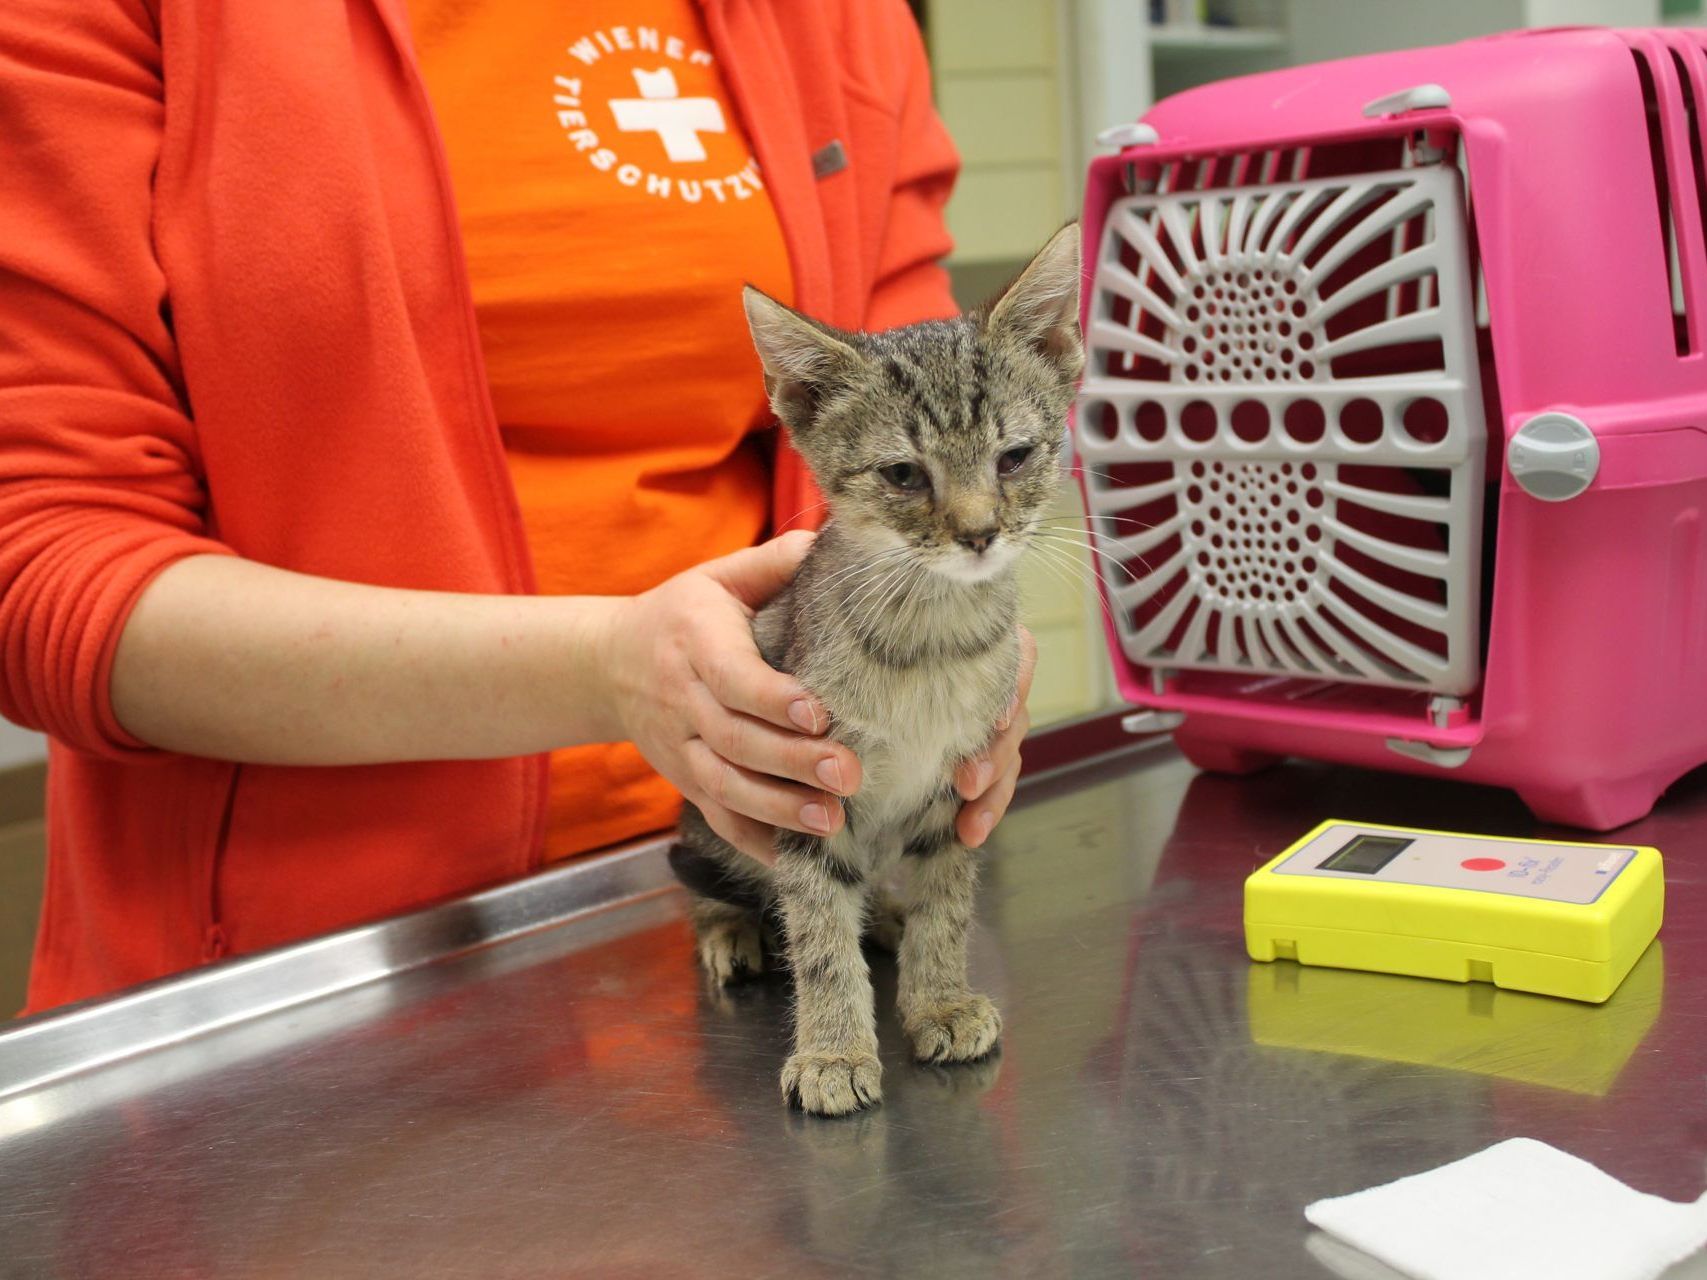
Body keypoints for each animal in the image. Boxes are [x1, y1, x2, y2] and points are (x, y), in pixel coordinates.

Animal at [665, 225, 1078, 1119]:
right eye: (902, 474)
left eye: (1013, 456)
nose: (979, 532)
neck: (931, 644)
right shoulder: (805, 788)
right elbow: (817, 929)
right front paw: (831, 1049)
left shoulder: (962, 785)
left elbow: (945, 904)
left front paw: (938, 998)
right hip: (704, 819)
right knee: (715, 883)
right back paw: (731, 928)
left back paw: (884, 912)